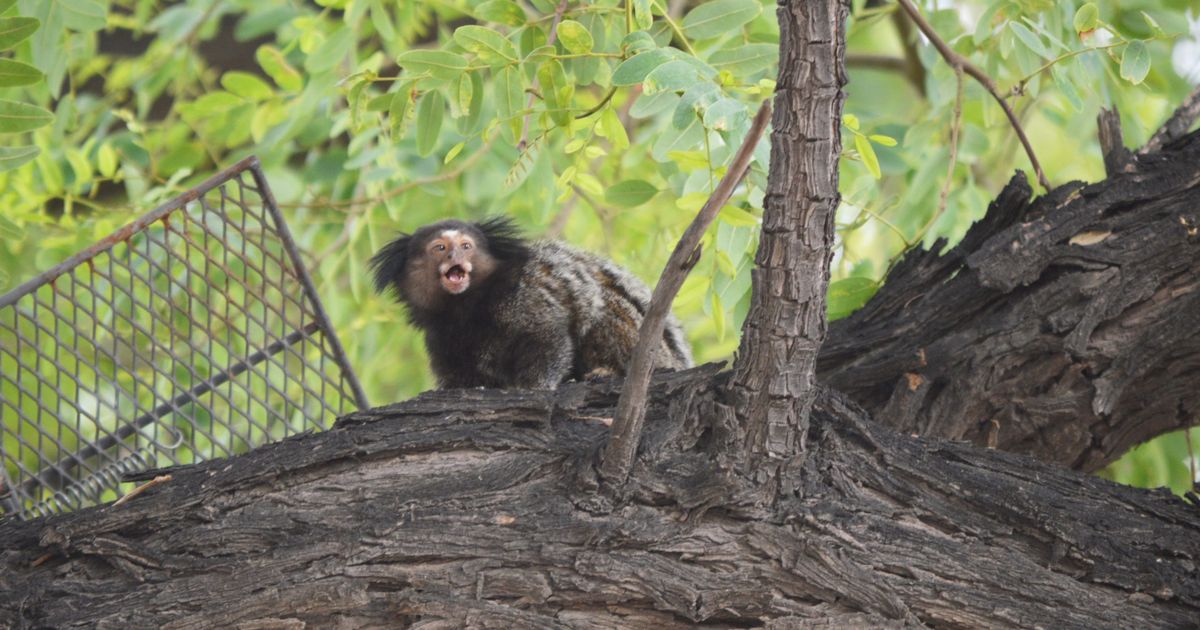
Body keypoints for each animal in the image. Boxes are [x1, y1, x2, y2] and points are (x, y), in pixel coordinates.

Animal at [372, 217, 696, 388]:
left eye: (466, 246)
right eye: (440, 248)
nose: (454, 256)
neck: (467, 308)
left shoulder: (523, 298)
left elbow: (548, 338)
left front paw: (534, 387)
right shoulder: (440, 338)